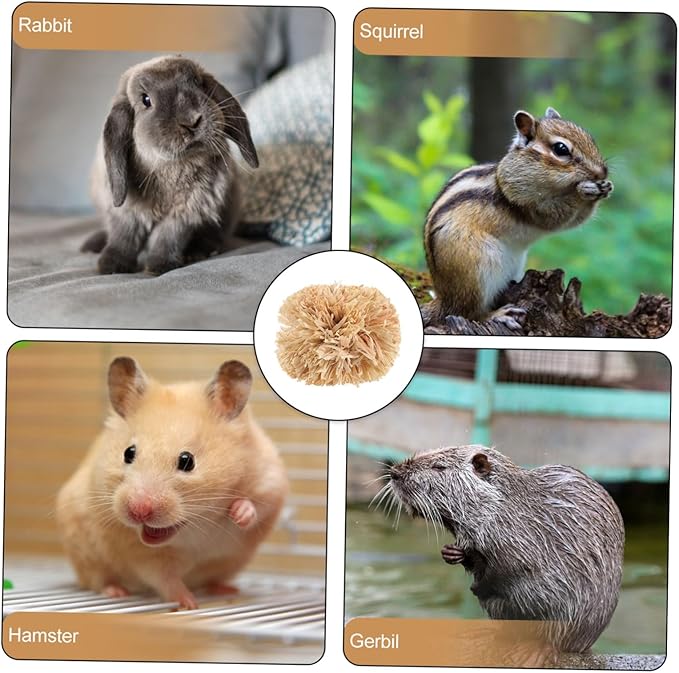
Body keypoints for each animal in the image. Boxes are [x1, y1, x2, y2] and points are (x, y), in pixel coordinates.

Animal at [83, 55, 259, 275]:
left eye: (199, 83)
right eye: (145, 100)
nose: (192, 120)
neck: (171, 167)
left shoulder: (184, 213)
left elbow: (168, 238)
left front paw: (159, 266)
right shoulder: (126, 212)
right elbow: (124, 237)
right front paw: (111, 266)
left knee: (214, 236)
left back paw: (198, 251)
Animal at [421, 107, 613, 328]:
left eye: (591, 139)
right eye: (561, 149)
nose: (602, 172)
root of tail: (444, 298)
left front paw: (605, 187)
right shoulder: (527, 201)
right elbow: (555, 217)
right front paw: (584, 191)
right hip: (475, 270)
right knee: (467, 312)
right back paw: (497, 315)